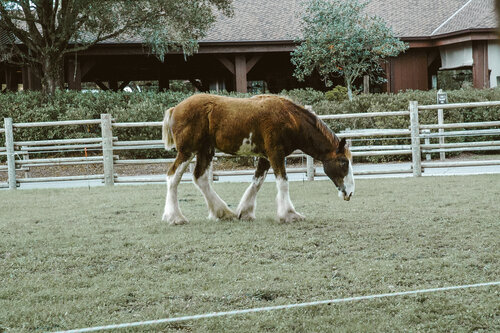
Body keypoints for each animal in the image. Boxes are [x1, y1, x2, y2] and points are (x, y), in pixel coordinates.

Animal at [162, 92, 354, 224]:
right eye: (344, 162)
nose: (350, 193)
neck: (290, 118)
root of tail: (175, 108)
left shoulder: (265, 157)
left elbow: (257, 182)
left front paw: (245, 212)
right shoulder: (275, 153)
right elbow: (283, 182)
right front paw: (289, 214)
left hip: (205, 150)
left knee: (200, 178)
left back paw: (223, 213)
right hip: (187, 151)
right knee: (173, 176)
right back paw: (175, 217)